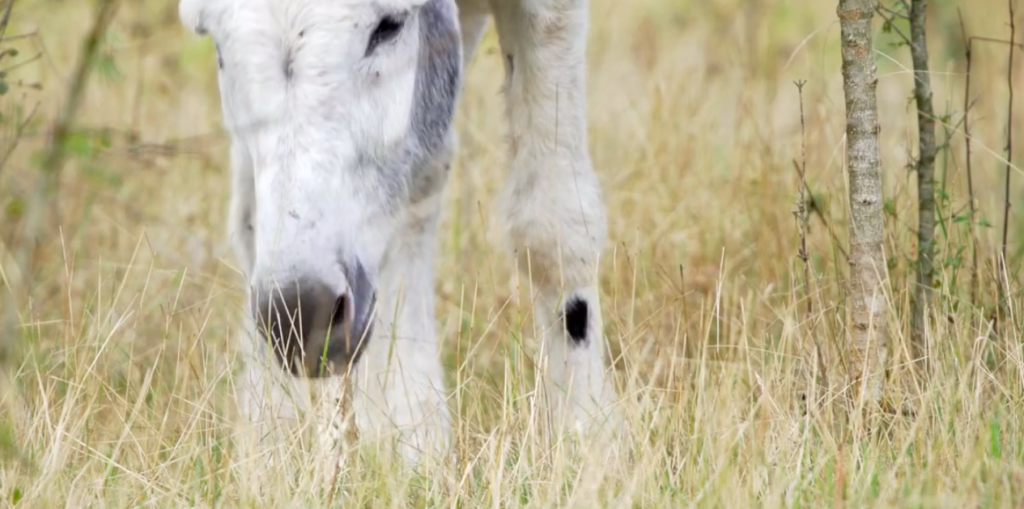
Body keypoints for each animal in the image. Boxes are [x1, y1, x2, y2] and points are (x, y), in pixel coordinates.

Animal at [178, 0, 614, 464]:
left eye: (389, 28)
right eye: (217, 45)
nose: (303, 318)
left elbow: (554, 225)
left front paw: (586, 438)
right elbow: (252, 223)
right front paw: (279, 445)